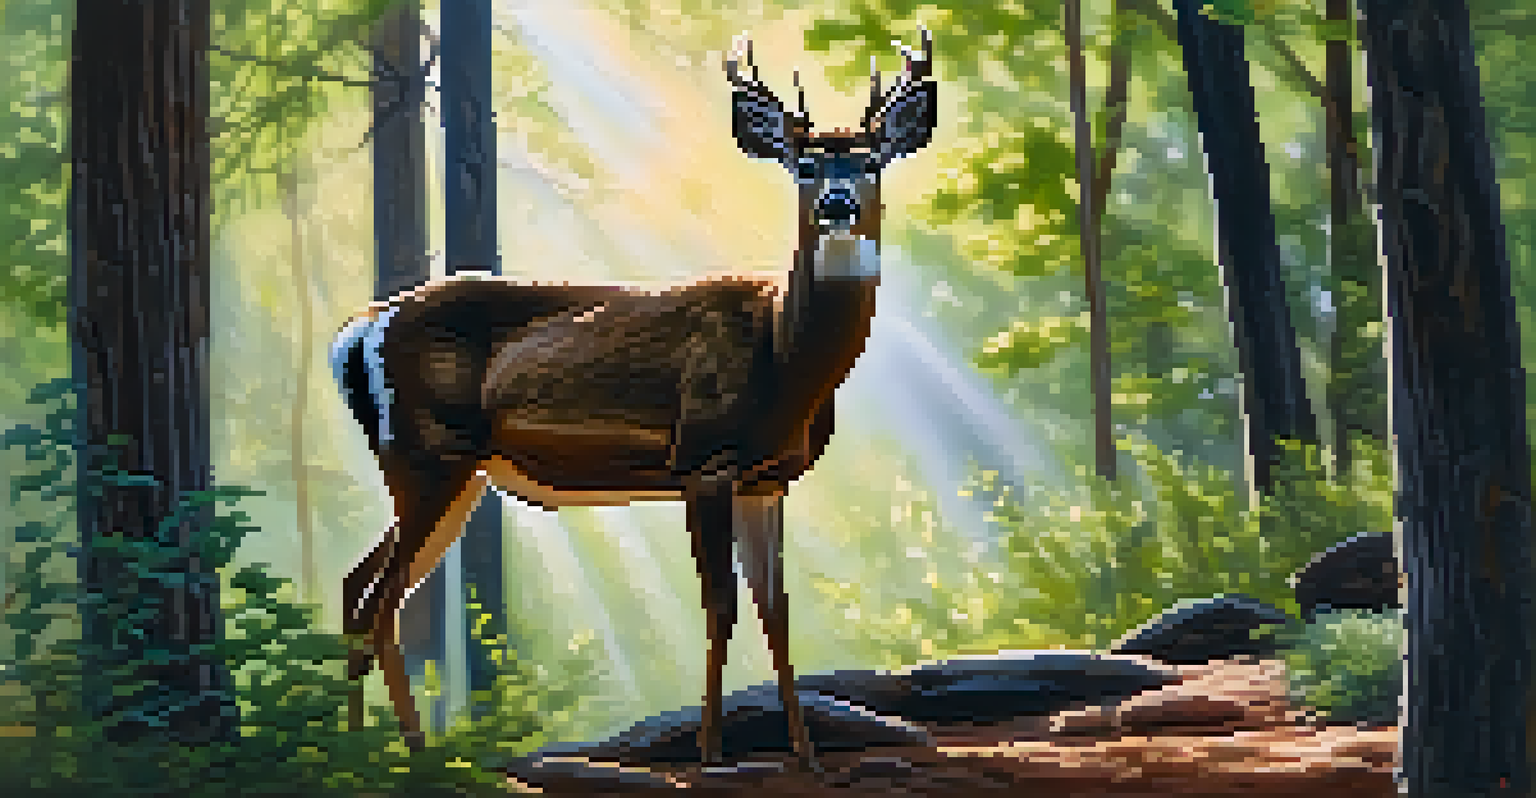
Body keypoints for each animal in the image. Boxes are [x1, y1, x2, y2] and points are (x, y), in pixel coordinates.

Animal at [330, 29, 936, 769]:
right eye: (803, 165)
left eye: (873, 160)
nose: (838, 206)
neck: (783, 356)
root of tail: (359, 328)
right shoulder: (703, 460)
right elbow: (721, 605)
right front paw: (711, 752)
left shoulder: (767, 481)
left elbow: (777, 610)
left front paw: (806, 754)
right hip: (426, 453)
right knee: (381, 600)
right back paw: (411, 755)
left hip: (449, 471)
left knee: (357, 586)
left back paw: (355, 752)